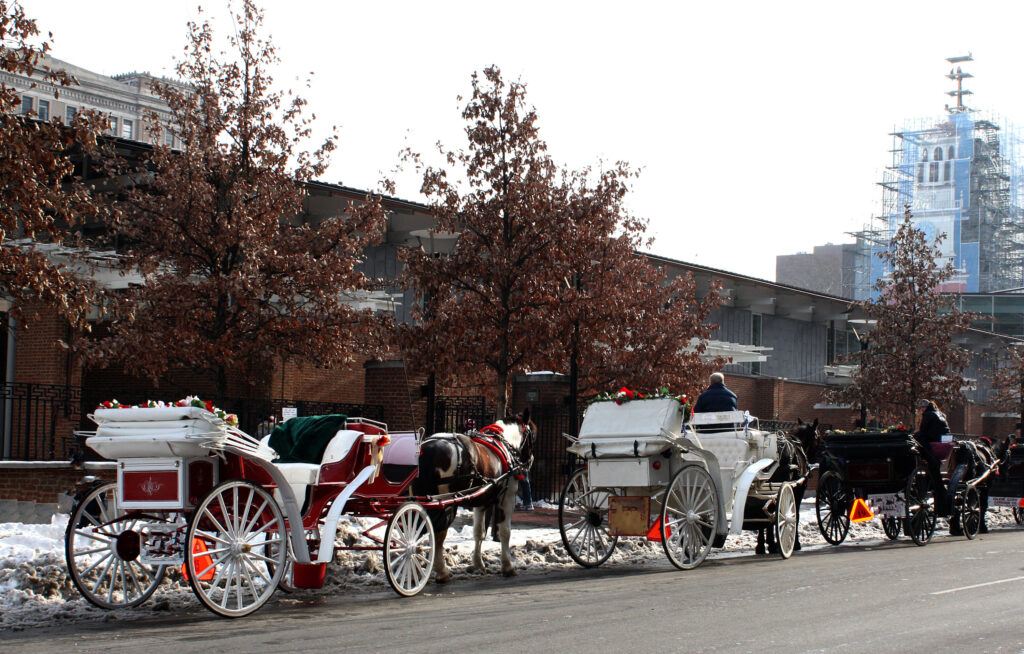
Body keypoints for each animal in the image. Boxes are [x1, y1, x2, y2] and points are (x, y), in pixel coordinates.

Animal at [411, 409, 536, 581]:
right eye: (533, 436)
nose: (530, 461)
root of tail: (427, 450)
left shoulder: (481, 502)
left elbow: (479, 532)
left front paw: (478, 564)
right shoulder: (507, 498)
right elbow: (505, 532)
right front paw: (507, 566)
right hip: (445, 504)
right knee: (438, 535)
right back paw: (441, 572)